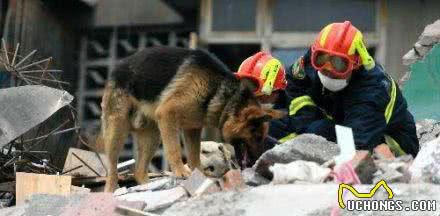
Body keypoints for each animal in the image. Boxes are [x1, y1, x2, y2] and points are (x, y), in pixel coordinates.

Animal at [99, 46, 282, 191]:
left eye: (262, 137)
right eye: (256, 137)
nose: (258, 162)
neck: (221, 94)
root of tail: (117, 67)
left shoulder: (192, 129)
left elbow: (194, 156)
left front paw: (198, 175)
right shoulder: (167, 115)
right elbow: (174, 149)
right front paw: (181, 172)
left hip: (153, 136)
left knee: (139, 171)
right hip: (117, 131)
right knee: (112, 169)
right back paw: (110, 190)